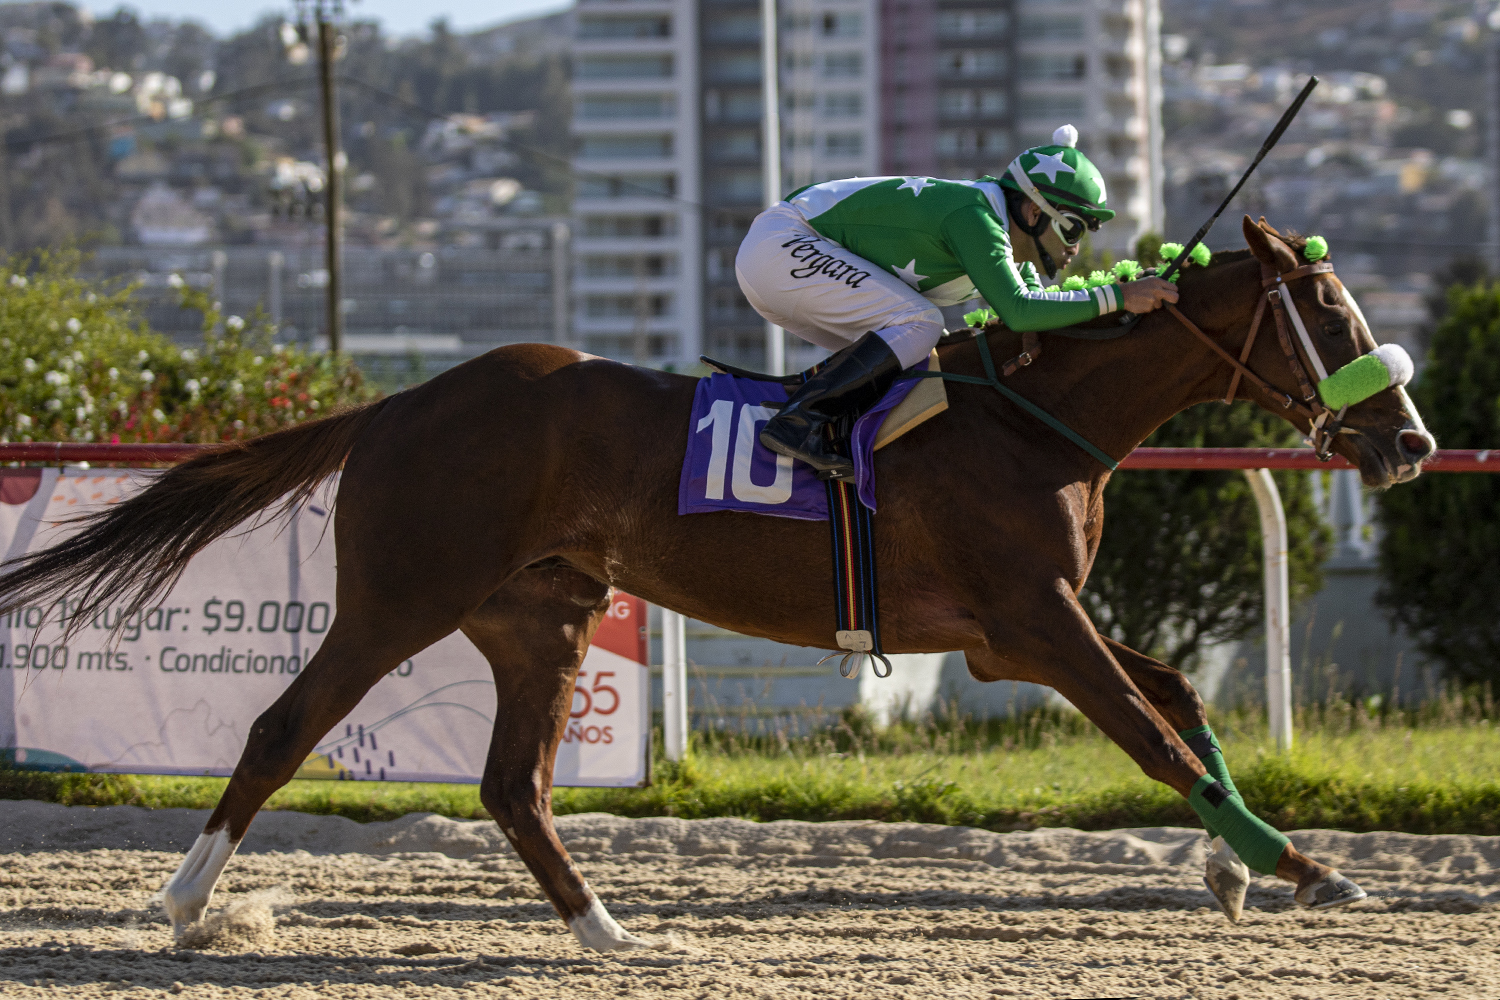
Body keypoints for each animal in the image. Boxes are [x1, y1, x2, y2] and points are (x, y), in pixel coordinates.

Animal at [0, 217, 1434, 949]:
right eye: (1328, 313)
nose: (1408, 442)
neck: (1029, 420)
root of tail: (404, 399)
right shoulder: (1028, 622)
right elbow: (1151, 733)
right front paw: (1304, 866)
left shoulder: (1017, 629)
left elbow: (1180, 700)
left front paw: (1244, 870)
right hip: (396, 598)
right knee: (281, 728)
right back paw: (184, 906)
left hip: (542, 618)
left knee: (513, 785)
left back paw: (609, 931)